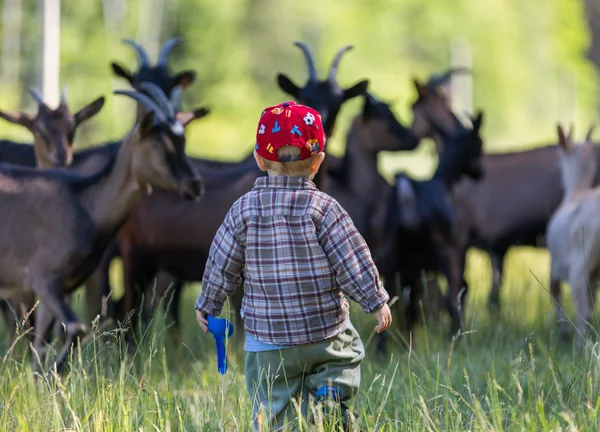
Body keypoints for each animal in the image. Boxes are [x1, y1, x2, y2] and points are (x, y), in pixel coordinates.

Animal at [0, 82, 206, 372]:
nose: (195, 185)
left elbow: (40, 346)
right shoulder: (43, 279)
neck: (84, 202)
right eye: (160, 144)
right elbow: (75, 329)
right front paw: (56, 373)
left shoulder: (56, 289)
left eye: (183, 141)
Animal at [378, 113, 486, 350]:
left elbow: (412, 305)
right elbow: (459, 292)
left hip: (391, 254)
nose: (481, 173)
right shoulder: (457, 251)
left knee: (390, 299)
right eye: (479, 144)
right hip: (445, 252)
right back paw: (457, 338)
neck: (444, 180)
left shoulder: (414, 268)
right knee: (453, 297)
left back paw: (383, 349)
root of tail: (407, 193)